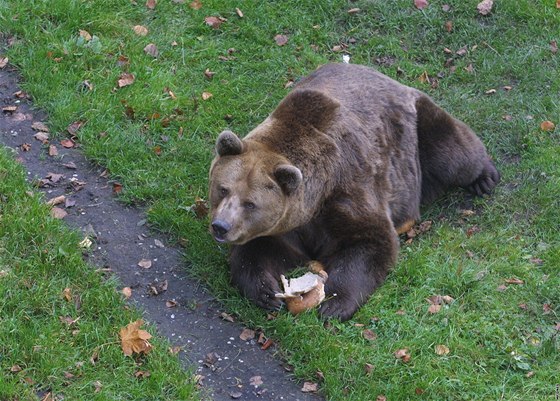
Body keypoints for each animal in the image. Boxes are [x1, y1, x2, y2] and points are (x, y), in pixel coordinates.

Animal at [209, 64, 498, 320]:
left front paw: (334, 304)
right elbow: (258, 252)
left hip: (418, 130)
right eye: (222, 189)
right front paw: (267, 294)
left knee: (452, 152)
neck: (315, 197)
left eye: (250, 203)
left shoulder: (348, 188)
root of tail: (386, 76)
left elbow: (370, 241)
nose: (221, 226)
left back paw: (485, 177)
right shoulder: (286, 225)